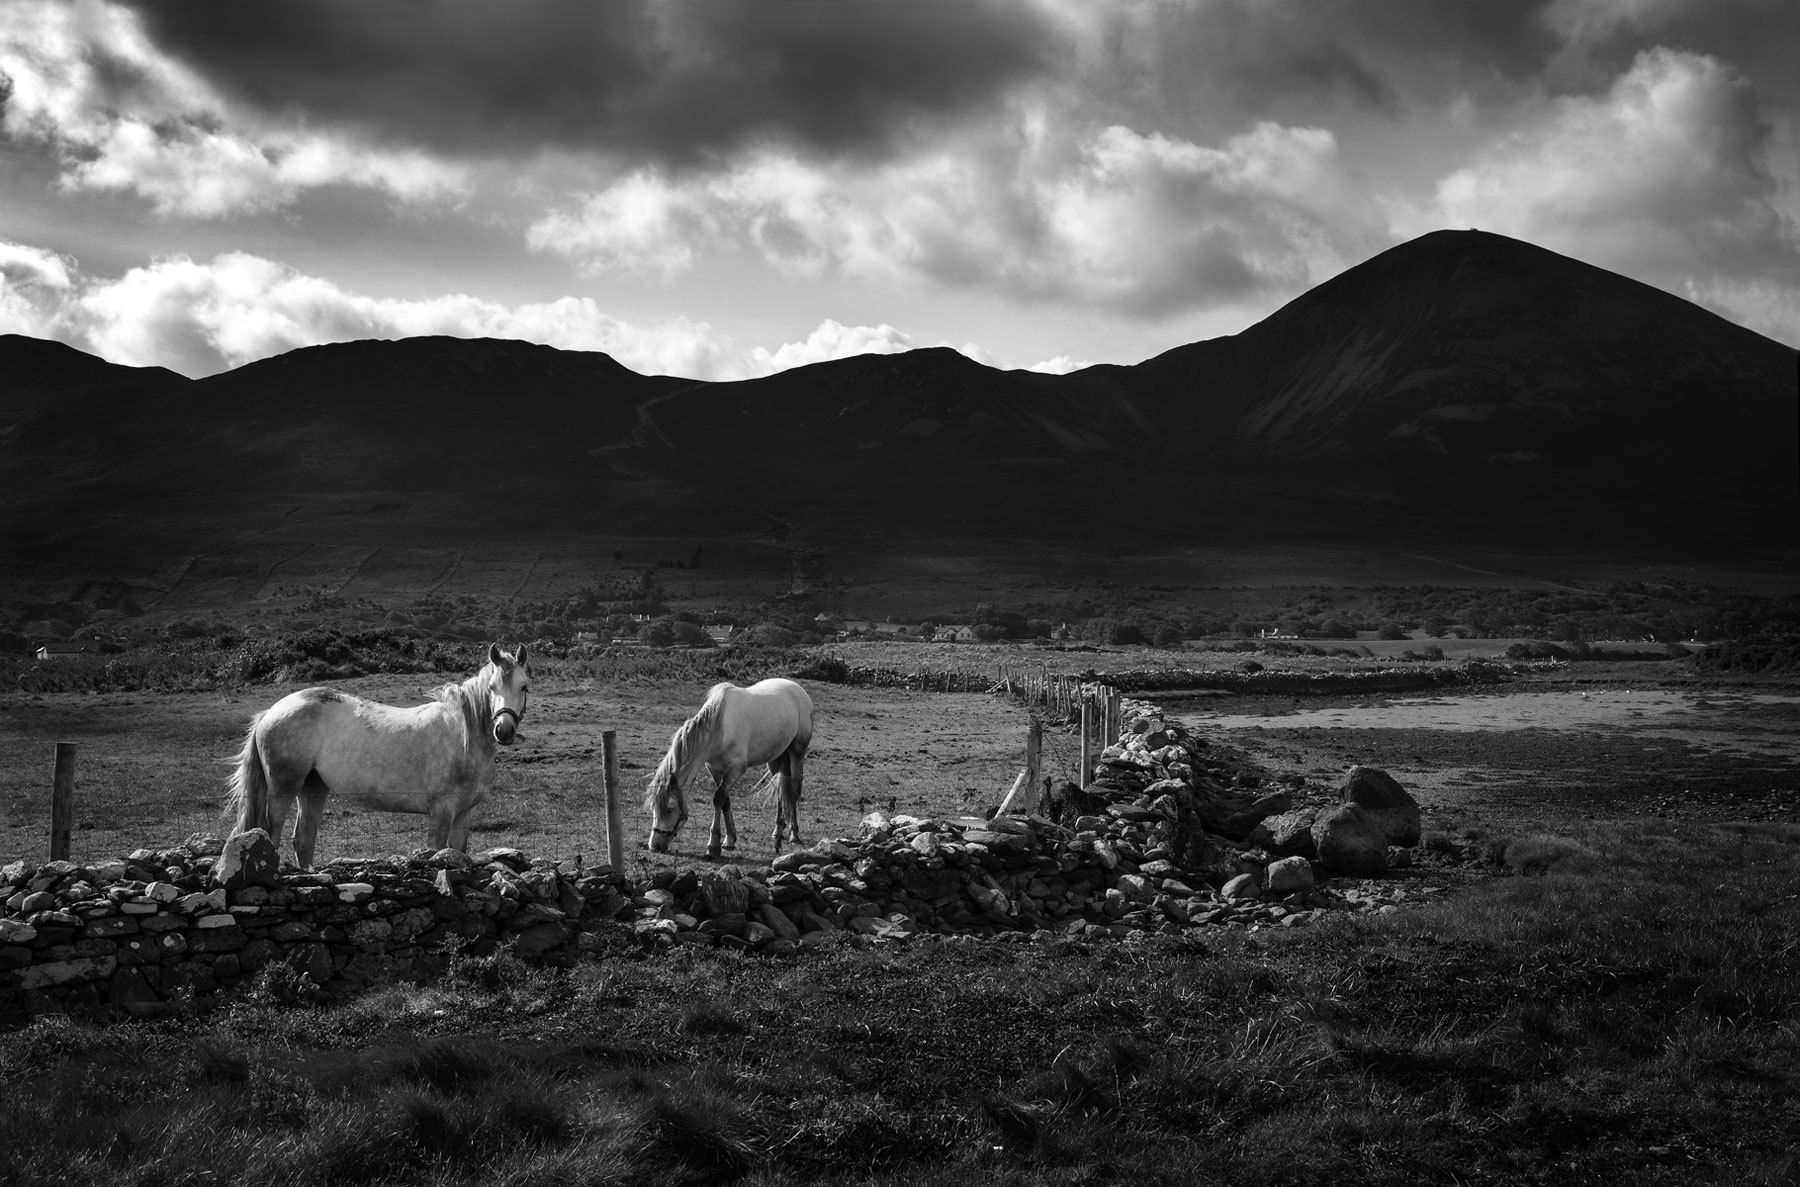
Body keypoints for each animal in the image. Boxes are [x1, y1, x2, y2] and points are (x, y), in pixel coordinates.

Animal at [225, 643, 530, 868]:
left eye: (524, 686)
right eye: (491, 687)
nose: (504, 730)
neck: (463, 737)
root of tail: (271, 712)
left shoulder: (465, 814)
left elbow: (458, 853)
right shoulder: (441, 812)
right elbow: (435, 852)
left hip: (313, 789)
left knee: (303, 840)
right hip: (283, 789)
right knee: (271, 835)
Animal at [643, 677, 813, 858]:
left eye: (670, 809)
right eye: (653, 808)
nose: (654, 846)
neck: (719, 730)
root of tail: (798, 688)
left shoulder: (735, 770)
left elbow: (718, 799)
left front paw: (713, 845)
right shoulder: (716, 771)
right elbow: (725, 802)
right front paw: (729, 839)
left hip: (797, 753)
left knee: (793, 791)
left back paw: (794, 835)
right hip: (776, 758)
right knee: (781, 789)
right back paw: (777, 832)